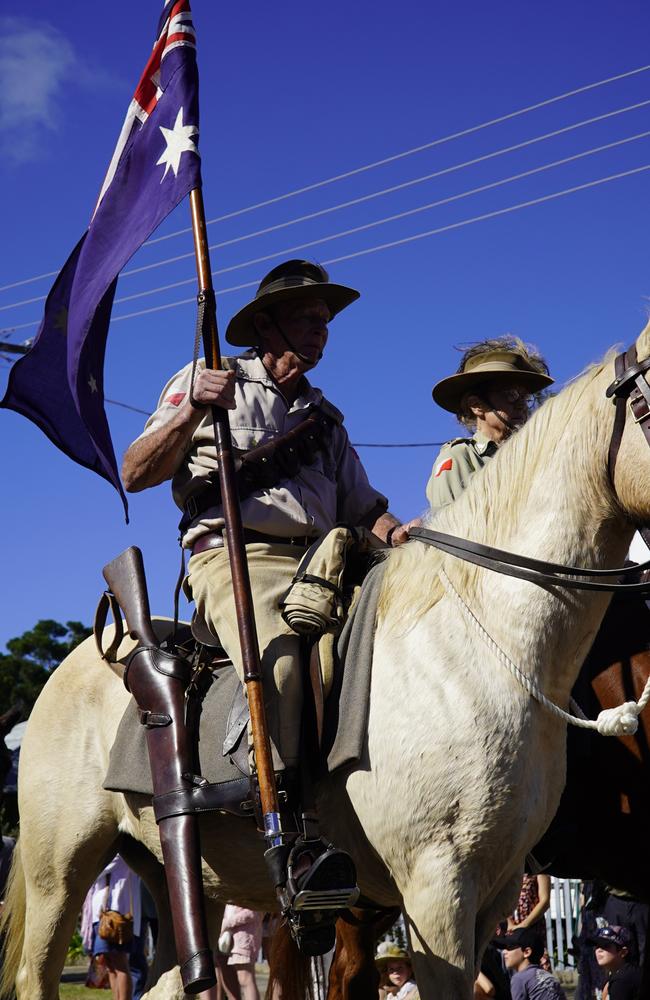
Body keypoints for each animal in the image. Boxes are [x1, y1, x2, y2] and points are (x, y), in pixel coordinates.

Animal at [3, 324, 648, 996]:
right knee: (37, 971)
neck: (478, 649)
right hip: (61, 869)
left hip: (185, 878)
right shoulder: (437, 892)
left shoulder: (494, 890)